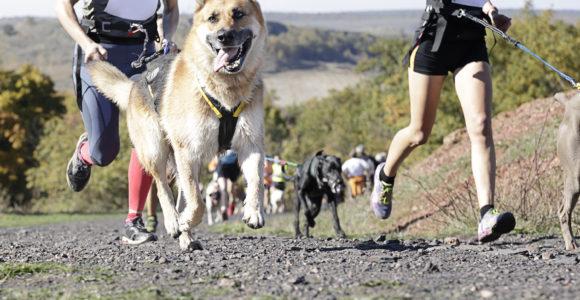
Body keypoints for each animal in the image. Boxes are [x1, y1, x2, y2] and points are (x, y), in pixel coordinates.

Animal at [88, 0, 268, 250]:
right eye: (212, 18)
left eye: (239, 14)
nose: (224, 37)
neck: (224, 89)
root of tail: (135, 84)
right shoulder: (189, 153)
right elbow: (196, 202)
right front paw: (182, 222)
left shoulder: (251, 145)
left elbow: (256, 181)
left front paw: (253, 211)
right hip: (156, 150)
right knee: (162, 187)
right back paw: (175, 222)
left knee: (182, 195)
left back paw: (186, 236)